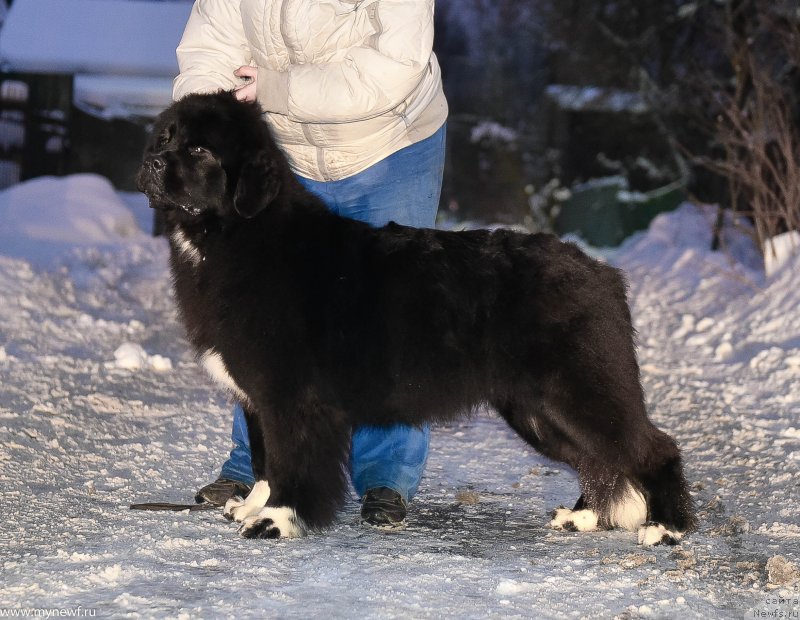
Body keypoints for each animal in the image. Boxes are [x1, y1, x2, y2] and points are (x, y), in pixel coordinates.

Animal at [136, 91, 692, 544]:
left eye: (201, 151)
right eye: (165, 137)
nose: (153, 162)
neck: (238, 235)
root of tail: (602, 272)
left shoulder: (291, 395)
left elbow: (290, 461)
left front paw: (277, 520)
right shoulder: (257, 396)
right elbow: (264, 458)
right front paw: (253, 505)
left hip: (577, 390)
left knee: (651, 447)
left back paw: (665, 528)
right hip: (537, 409)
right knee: (599, 458)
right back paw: (585, 517)